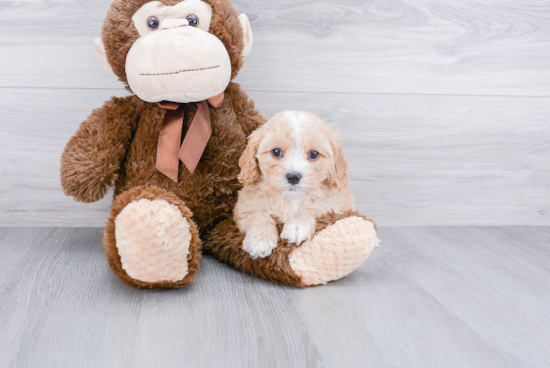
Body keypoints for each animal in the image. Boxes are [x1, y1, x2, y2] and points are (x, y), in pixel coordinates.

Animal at [235, 110, 356, 258]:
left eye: (314, 154)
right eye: (276, 152)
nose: (293, 177)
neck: (290, 199)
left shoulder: (337, 206)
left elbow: (313, 207)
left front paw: (297, 226)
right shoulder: (244, 207)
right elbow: (259, 215)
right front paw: (260, 240)